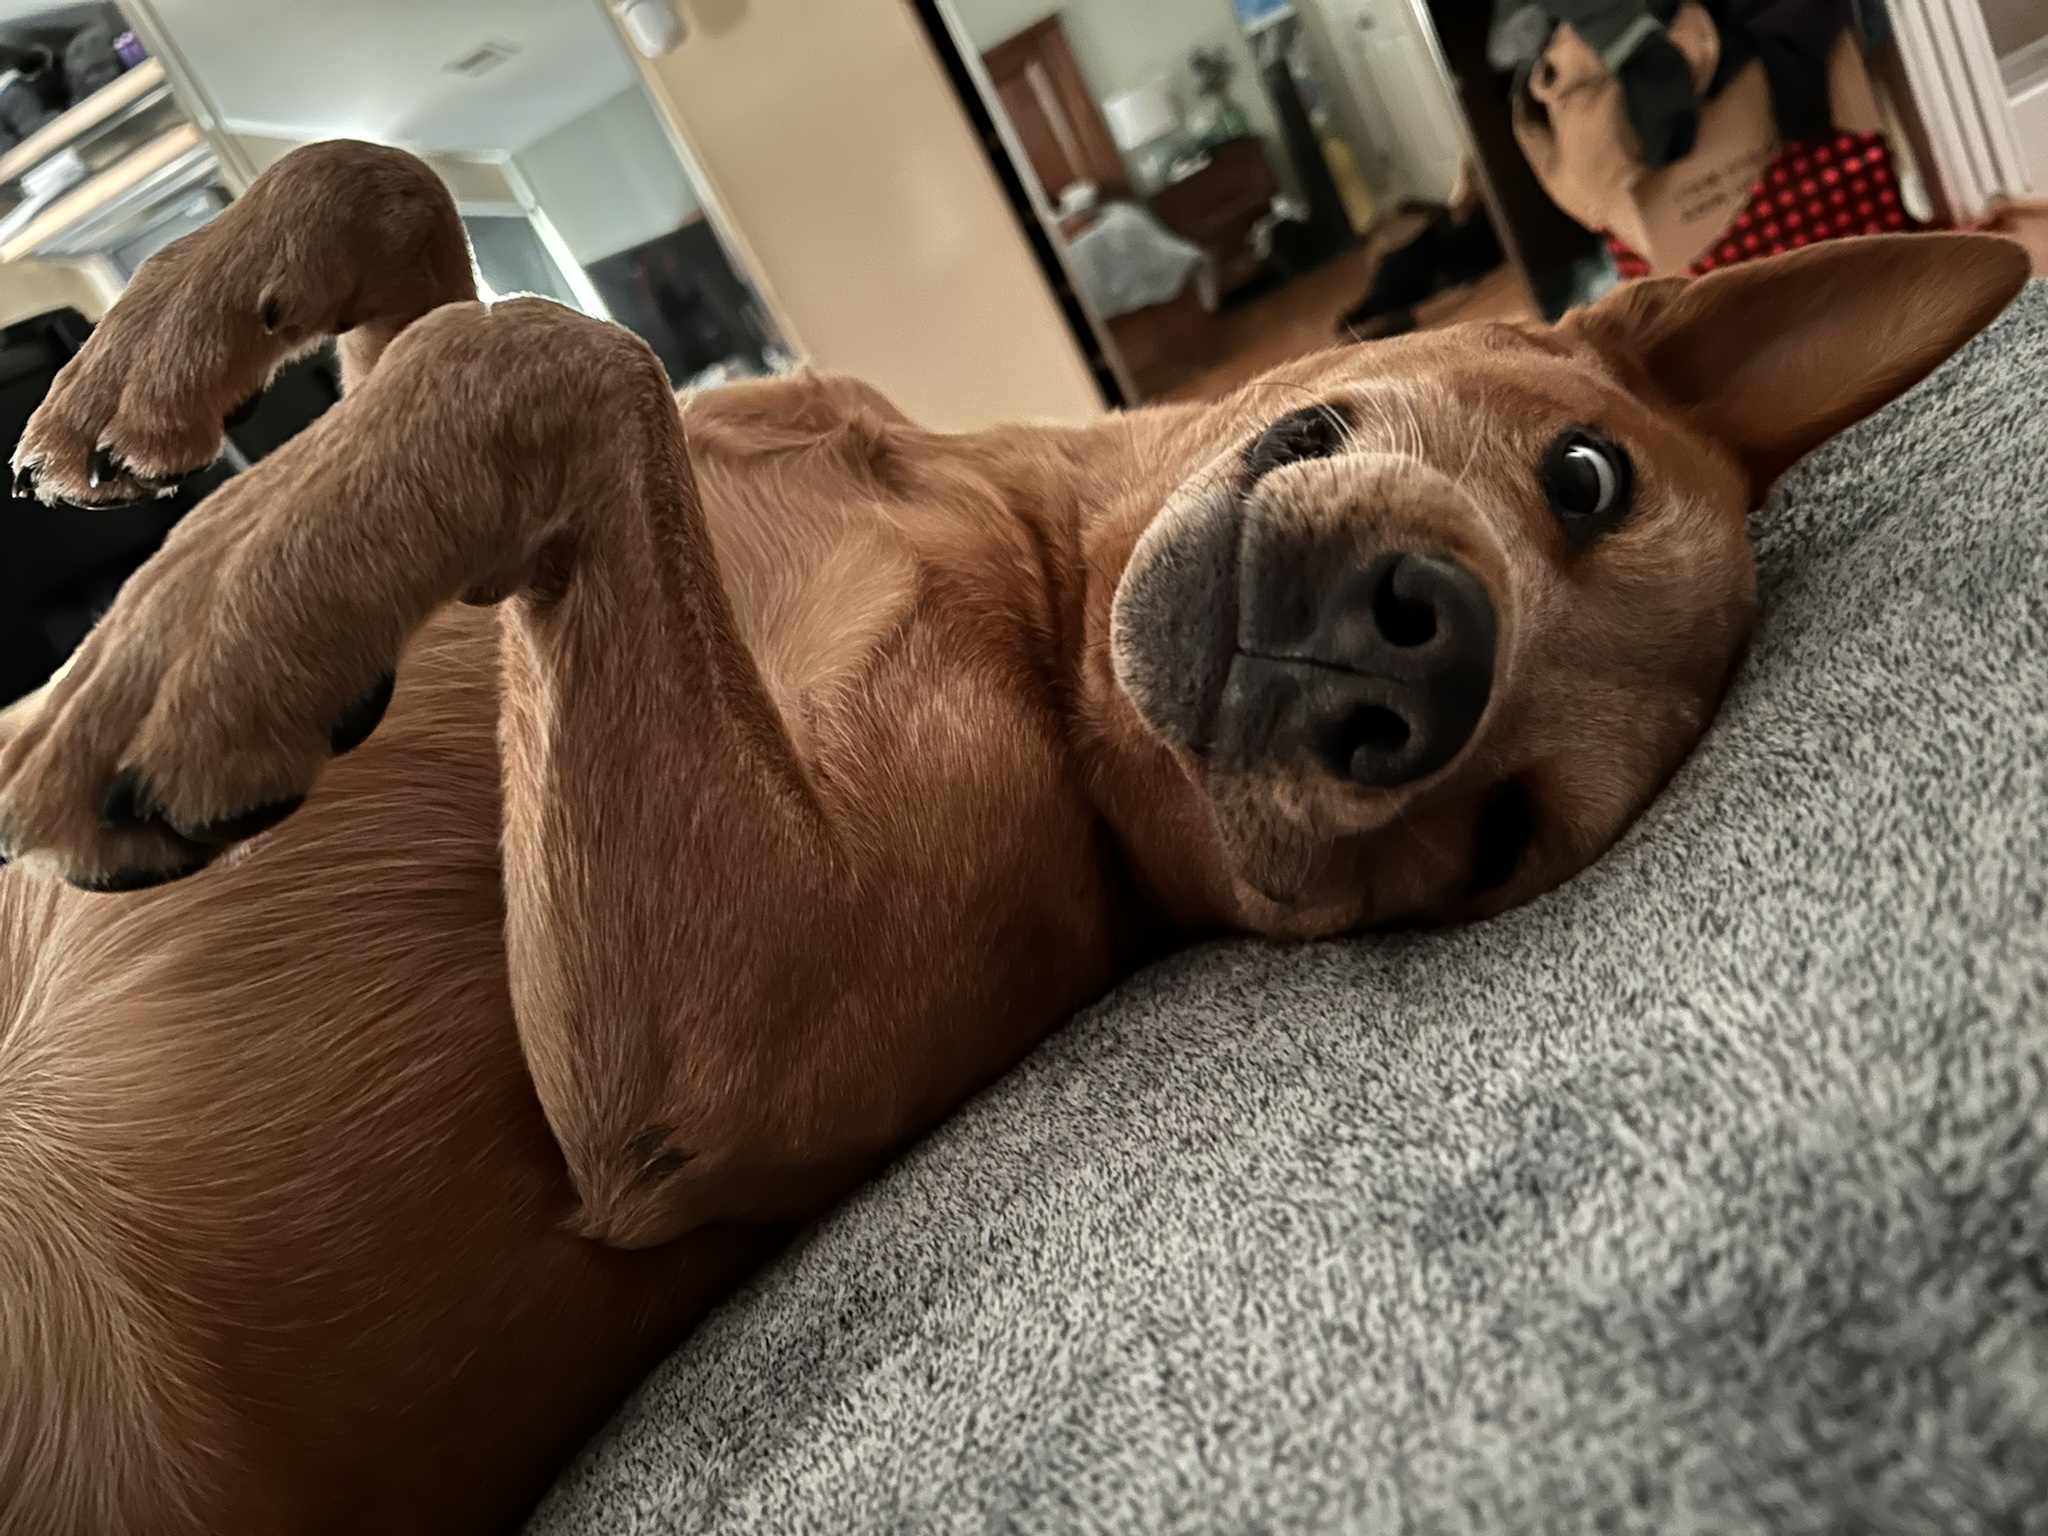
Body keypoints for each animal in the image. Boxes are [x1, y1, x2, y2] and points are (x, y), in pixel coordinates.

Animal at [0, 138, 2023, 1531]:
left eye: (1495, 847)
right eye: (1584, 476)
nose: (1423, 660)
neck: (1039, 577)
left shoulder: (711, 1054)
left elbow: (568, 360)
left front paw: (202, 638)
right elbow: (425, 229)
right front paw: (161, 367)